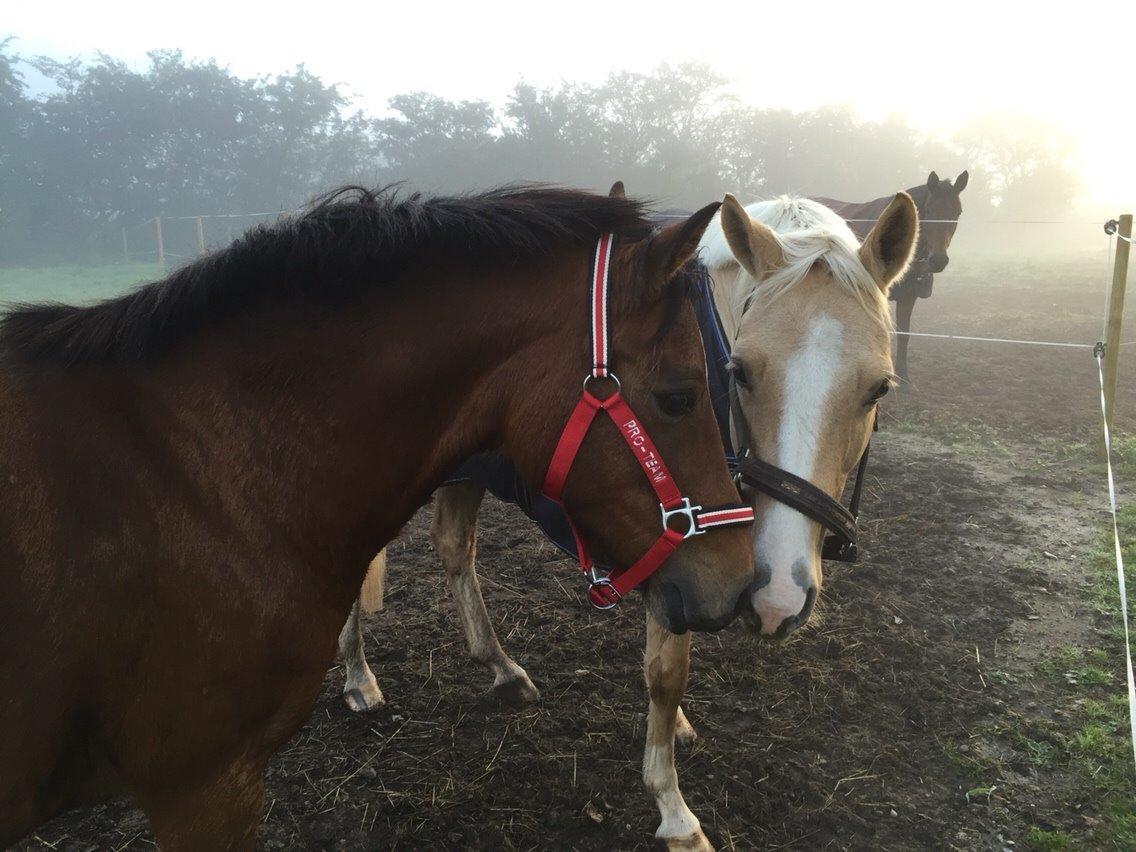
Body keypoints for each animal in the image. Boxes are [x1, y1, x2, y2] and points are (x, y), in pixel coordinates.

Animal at [340, 189, 917, 849]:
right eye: (740, 371)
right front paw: (674, 811)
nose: (777, 596)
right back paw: (358, 676)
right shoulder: (682, 546)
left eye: (879, 388)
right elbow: (667, 672)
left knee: (455, 547)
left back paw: (502, 669)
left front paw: (679, 732)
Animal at [817, 169, 967, 379]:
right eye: (929, 210)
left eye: (957, 212)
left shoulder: (908, 297)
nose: (938, 260)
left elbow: (904, 334)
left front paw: (903, 376)